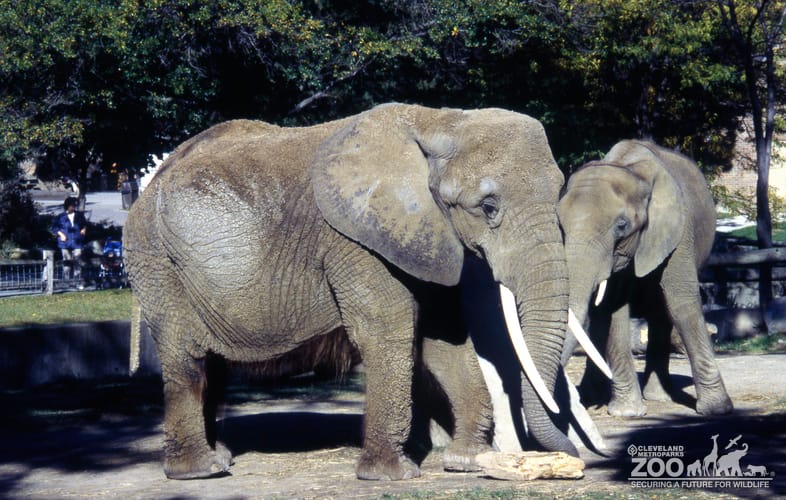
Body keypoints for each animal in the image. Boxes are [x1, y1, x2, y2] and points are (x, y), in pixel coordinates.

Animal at [124, 103, 592, 481]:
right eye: (488, 207)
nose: (577, 458)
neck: (438, 121)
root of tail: (148, 184)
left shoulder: (425, 235)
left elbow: (444, 339)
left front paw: (468, 462)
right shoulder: (353, 240)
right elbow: (389, 332)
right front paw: (392, 476)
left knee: (212, 363)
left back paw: (220, 457)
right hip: (155, 258)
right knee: (187, 355)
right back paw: (200, 471)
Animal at [557, 139, 733, 417]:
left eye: (621, 225)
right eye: (560, 226)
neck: (630, 170)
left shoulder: (677, 231)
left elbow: (681, 302)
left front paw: (718, 410)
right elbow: (613, 310)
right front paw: (627, 413)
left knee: (662, 312)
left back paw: (658, 397)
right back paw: (593, 396)